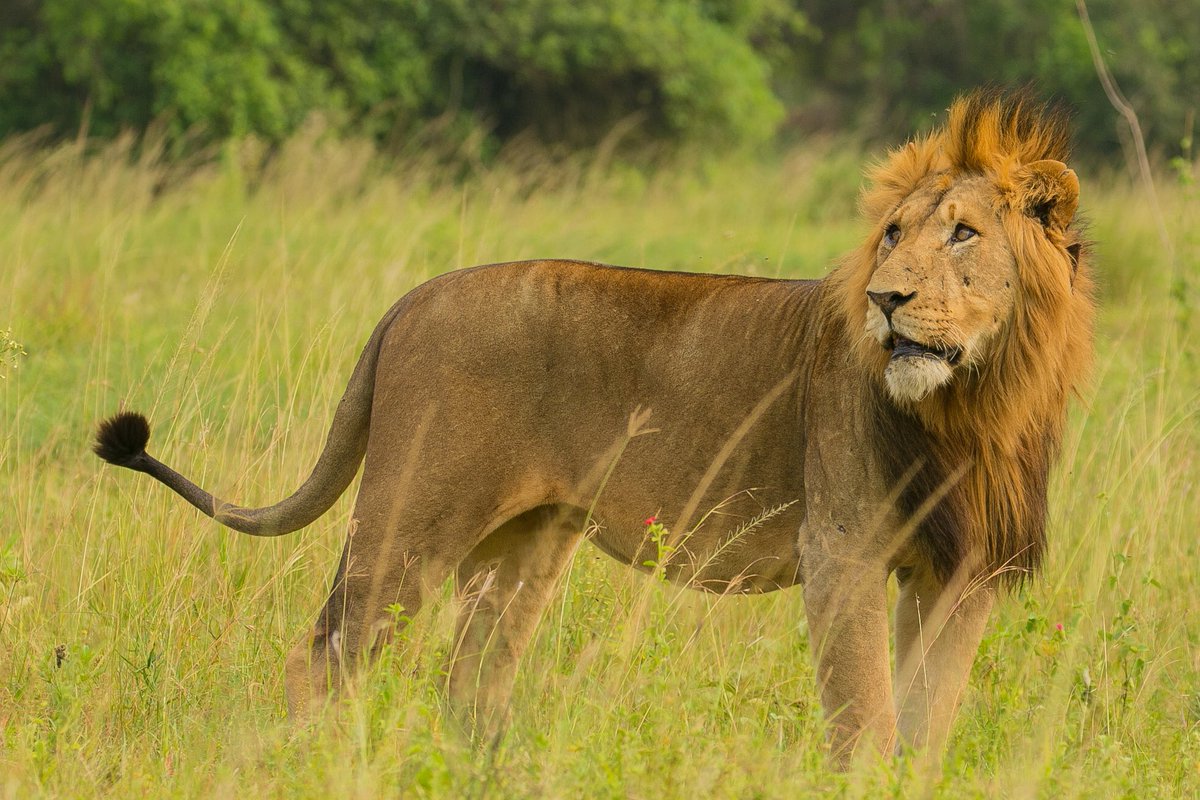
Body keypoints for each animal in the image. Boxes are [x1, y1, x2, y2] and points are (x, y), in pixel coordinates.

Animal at [94, 88, 1093, 764]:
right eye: (891, 234)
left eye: (962, 234)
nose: (887, 301)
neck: (978, 404)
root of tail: (411, 298)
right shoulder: (842, 549)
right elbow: (867, 724)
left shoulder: (962, 573)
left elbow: (927, 728)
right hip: (409, 521)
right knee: (325, 659)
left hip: (525, 547)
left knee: (470, 684)